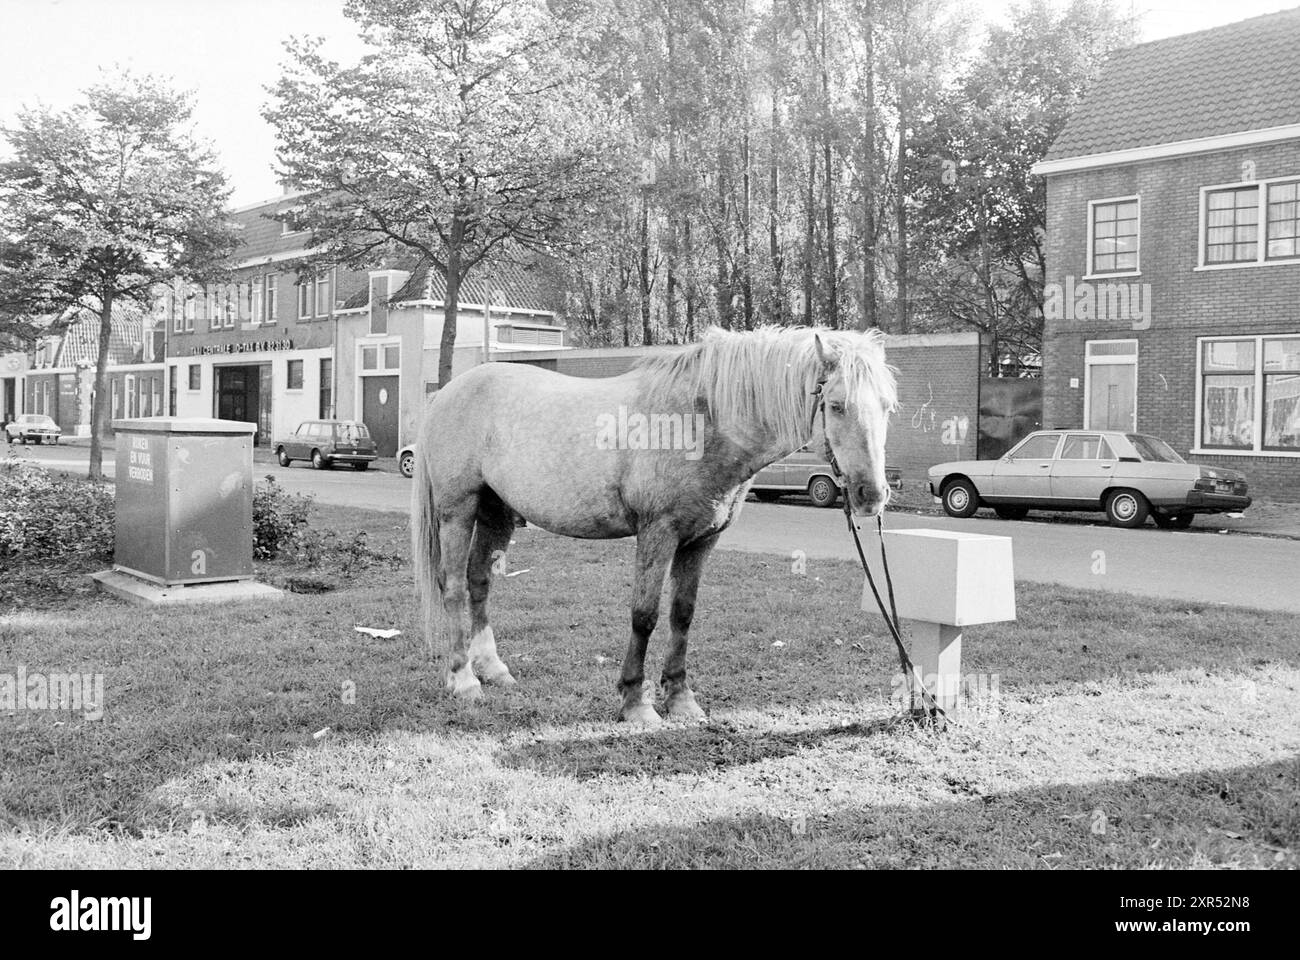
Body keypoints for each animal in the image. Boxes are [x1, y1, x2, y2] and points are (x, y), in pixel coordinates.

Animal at [411, 325, 898, 724]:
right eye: (836, 405)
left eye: (888, 407)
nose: (871, 495)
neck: (700, 420)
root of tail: (444, 393)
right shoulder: (657, 534)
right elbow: (643, 615)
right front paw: (636, 702)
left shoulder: (700, 542)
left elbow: (682, 614)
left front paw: (680, 699)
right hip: (458, 510)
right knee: (453, 585)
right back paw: (463, 680)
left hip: (496, 512)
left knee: (479, 581)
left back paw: (494, 670)